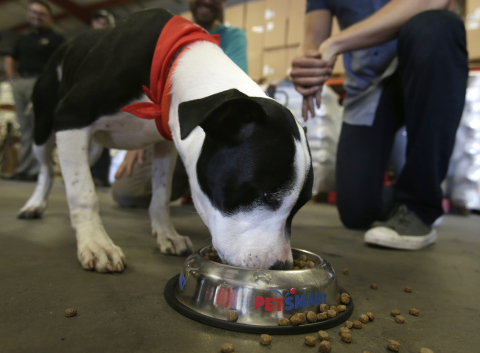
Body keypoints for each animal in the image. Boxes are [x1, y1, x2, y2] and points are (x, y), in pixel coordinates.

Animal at [18, 8, 314, 272]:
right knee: (47, 169)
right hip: (46, 129)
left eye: (301, 205)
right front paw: (96, 243)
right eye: (267, 195)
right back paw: (35, 204)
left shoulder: (167, 143)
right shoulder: (71, 118)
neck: (176, 67)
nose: (281, 266)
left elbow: (160, 195)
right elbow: (83, 194)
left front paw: (166, 234)